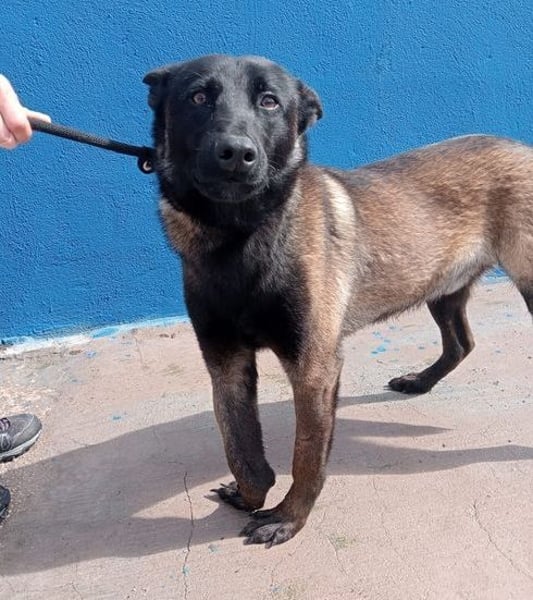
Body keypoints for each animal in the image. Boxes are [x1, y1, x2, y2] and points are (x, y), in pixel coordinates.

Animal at [143, 54, 533, 547]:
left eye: (269, 101)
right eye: (197, 97)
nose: (235, 152)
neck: (239, 236)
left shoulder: (314, 366)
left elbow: (306, 456)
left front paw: (288, 517)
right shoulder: (225, 361)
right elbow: (239, 444)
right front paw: (251, 494)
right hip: (440, 286)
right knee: (461, 343)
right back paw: (420, 382)